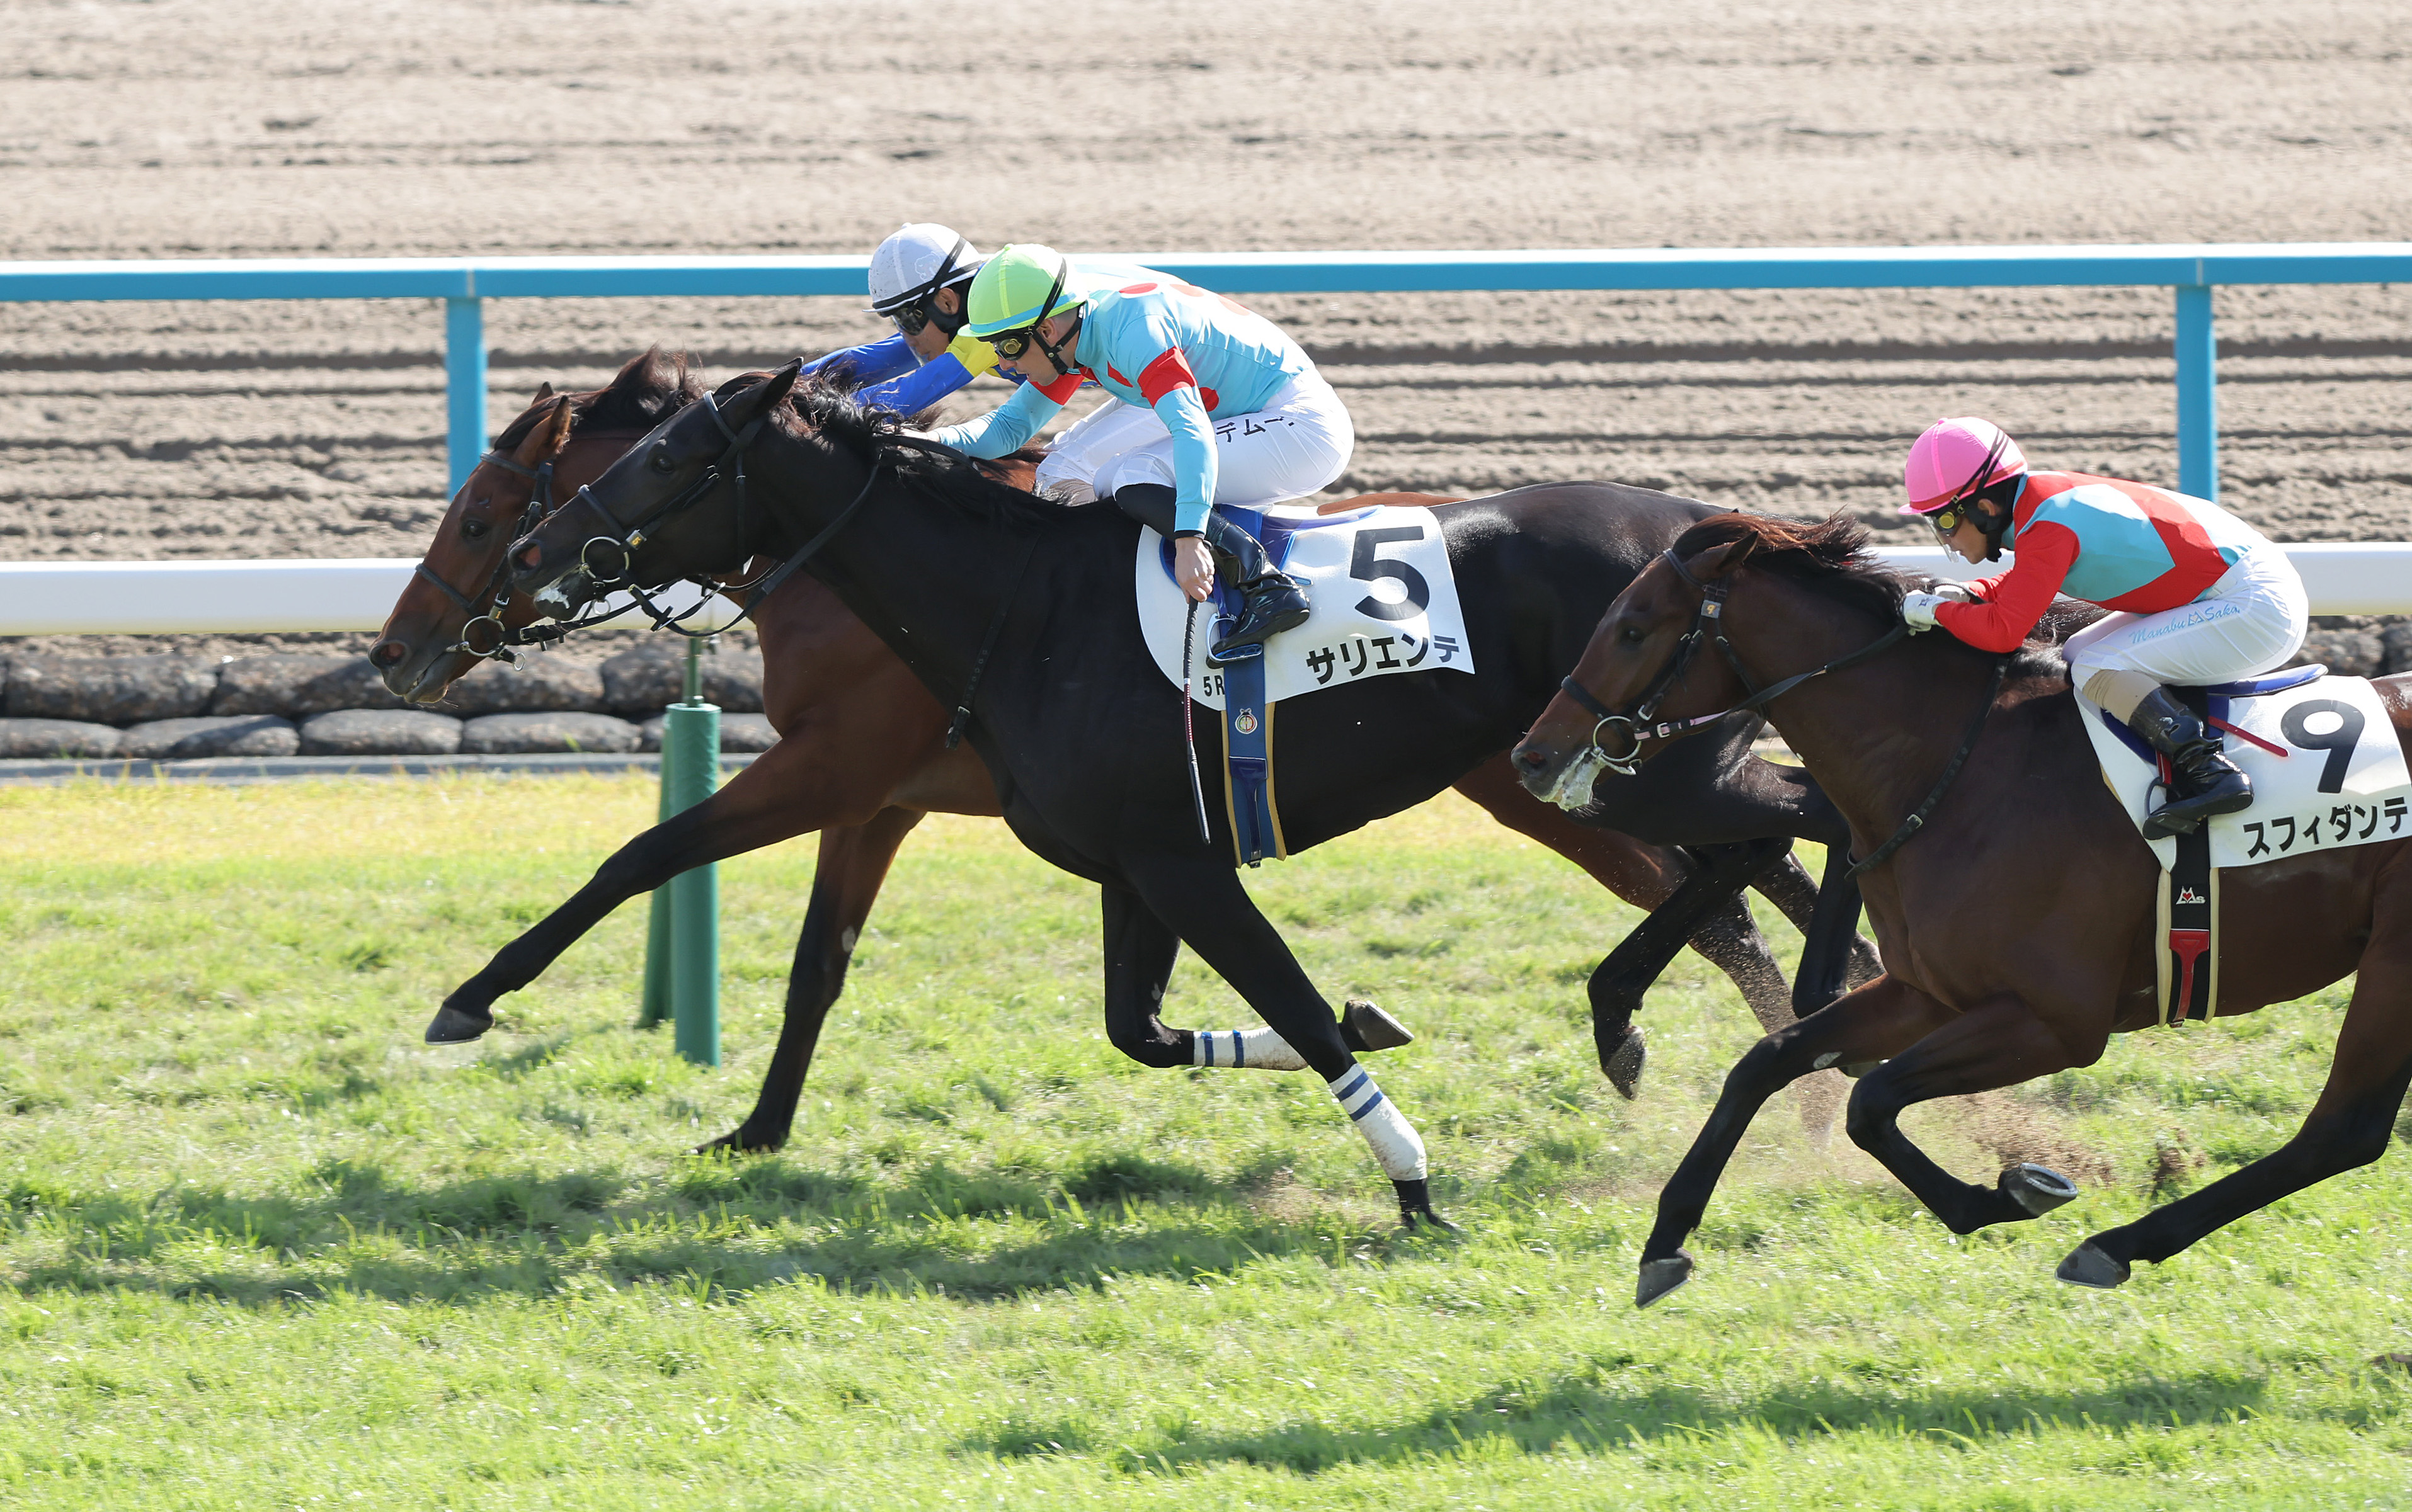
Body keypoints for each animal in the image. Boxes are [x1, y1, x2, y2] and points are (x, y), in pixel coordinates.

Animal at [375, 351, 1863, 1155]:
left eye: (482, 512)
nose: (397, 652)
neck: (998, 588)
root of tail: (1697, 531)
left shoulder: (841, 769)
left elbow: (644, 853)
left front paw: (473, 997)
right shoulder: (888, 801)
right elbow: (816, 970)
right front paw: (756, 1129)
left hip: (1591, 776)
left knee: (1752, 870)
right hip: (1563, 777)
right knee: (1749, 879)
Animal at [1512, 510, 2412, 1303]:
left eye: (1633, 628)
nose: (1531, 755)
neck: (1954, 765)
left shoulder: (2056, 1021)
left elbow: (1870, 1101)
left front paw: (2008, 1191)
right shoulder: (1927, 992)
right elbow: (1768, 1061)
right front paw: (1664, 1243)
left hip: (2393, 961)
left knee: (2343, 1128)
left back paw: (2115, 1245)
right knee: (2350, 1130)